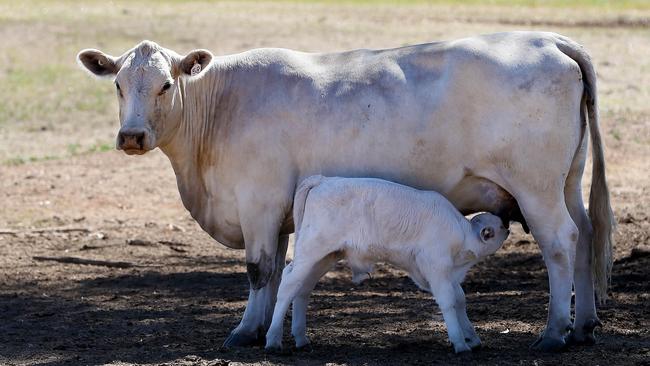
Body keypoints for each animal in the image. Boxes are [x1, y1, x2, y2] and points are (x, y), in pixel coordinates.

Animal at [264, 176, 512, 354]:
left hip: (324, 256)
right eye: (499, 227)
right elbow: (449, 301)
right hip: (311, 251)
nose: (509, 227)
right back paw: (274, 339)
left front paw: (473, 338)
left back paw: (301, 338)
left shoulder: (446, 274)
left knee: (302, 289)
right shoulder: (437, 268)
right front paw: (460, 343)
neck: (462, 234)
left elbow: (460, 299)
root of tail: (322, 180)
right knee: (288, 284)